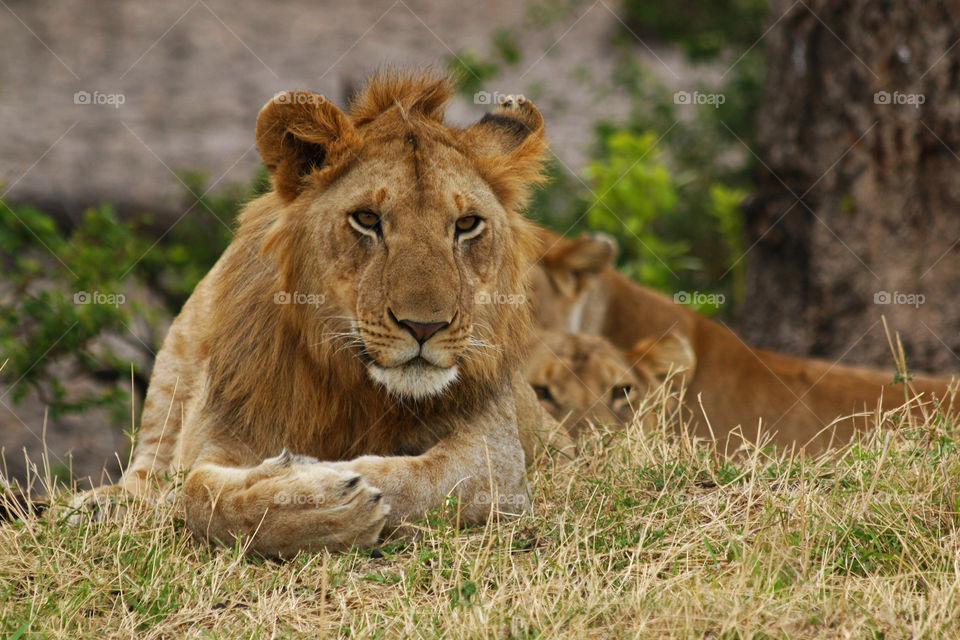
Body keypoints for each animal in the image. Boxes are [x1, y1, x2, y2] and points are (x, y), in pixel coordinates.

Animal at [74, 71, 573, 557]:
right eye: (367, 219)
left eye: (467, 225)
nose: (425, 326)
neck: (355, 385)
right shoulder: (220, 428)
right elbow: (196, 492)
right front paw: (312, 496)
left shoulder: (500, 457)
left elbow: (417, 478)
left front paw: (325, 483)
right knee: (146, 468)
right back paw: (98, 505)